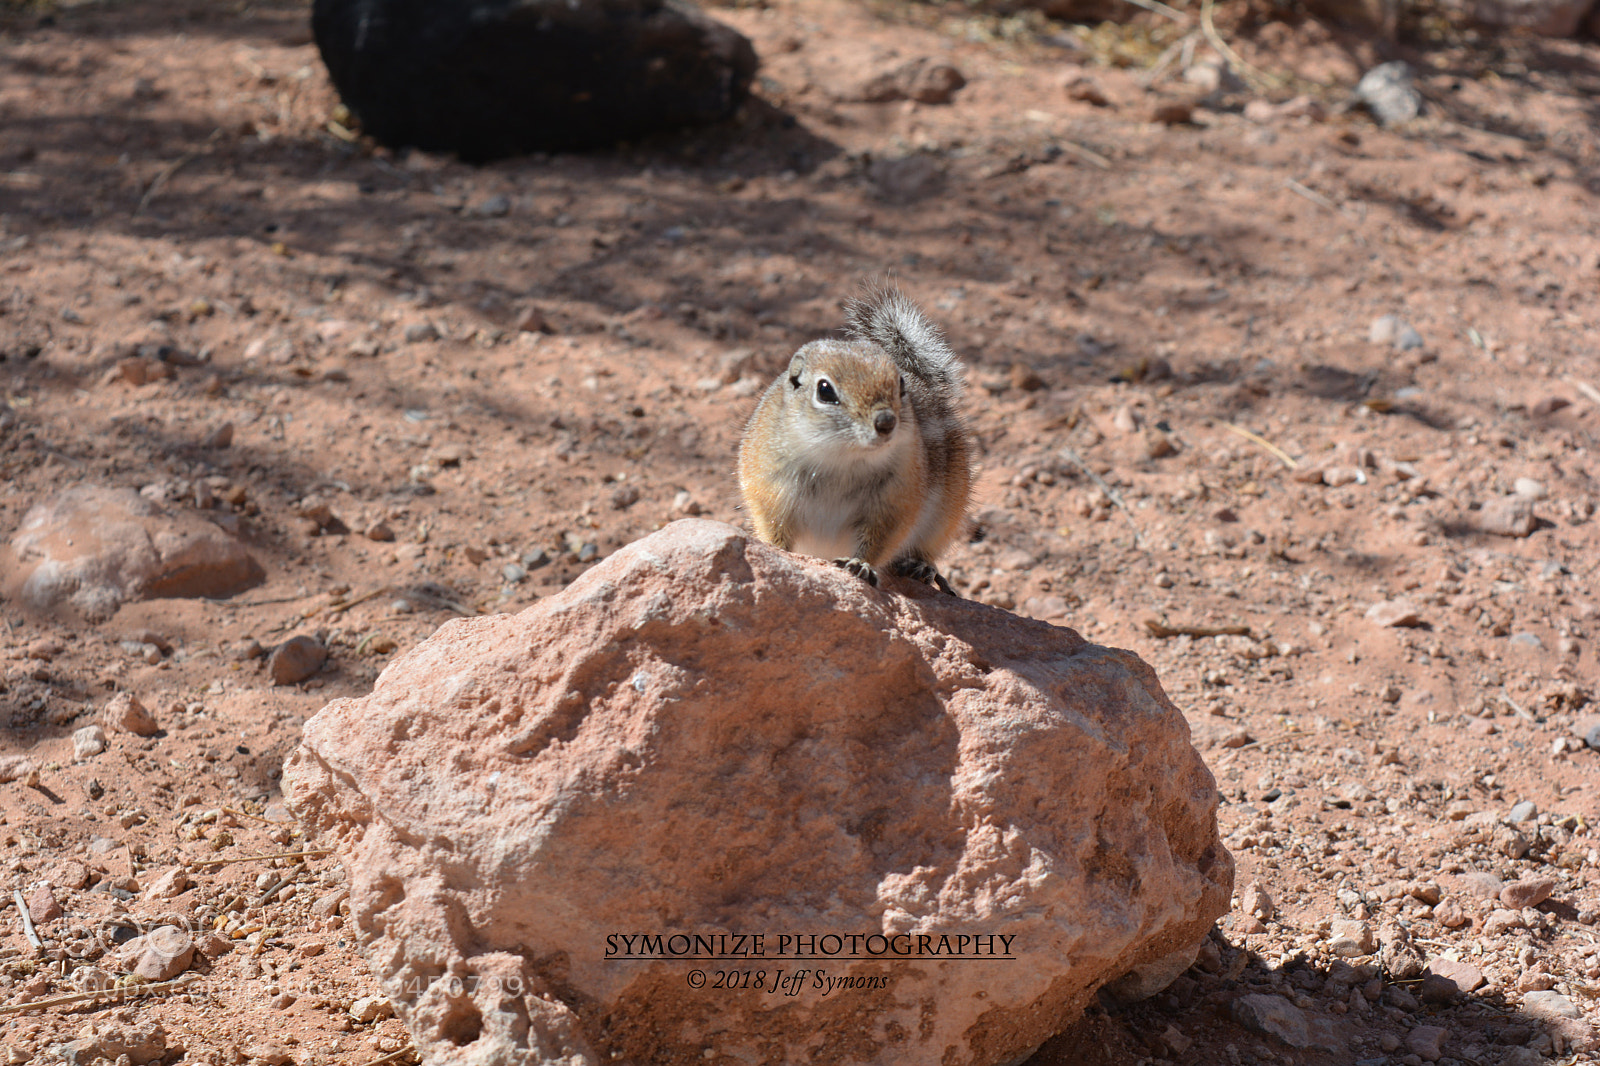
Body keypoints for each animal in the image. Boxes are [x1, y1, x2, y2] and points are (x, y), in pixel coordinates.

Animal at [737, 286, 974, 595]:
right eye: (825, 390)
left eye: (900, 384)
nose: (886, 422)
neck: (841, 457)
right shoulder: (769, 489)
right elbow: (772, 526)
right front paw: (776, 551)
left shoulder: (896, 500)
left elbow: (880, 540)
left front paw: (861, 565)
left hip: (947, 512)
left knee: (929, 548)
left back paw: (921, 567)